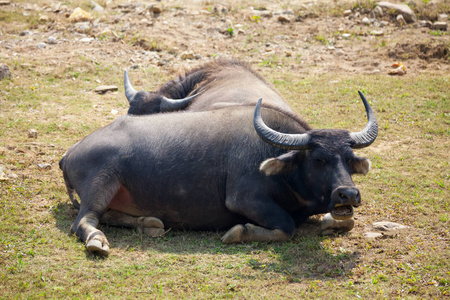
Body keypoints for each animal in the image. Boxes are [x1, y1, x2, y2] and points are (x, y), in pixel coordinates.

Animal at [59, 92, 376, 255]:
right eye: (319, 159)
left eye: (349, 160)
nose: (348, 194)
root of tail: (70, 152)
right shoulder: (244, 199)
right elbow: (286, 226)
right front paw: (238, 232)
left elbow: (344, 221)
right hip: (102, 181)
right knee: (84, 221)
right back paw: (97, 241)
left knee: (109, 215)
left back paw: (148, 223)